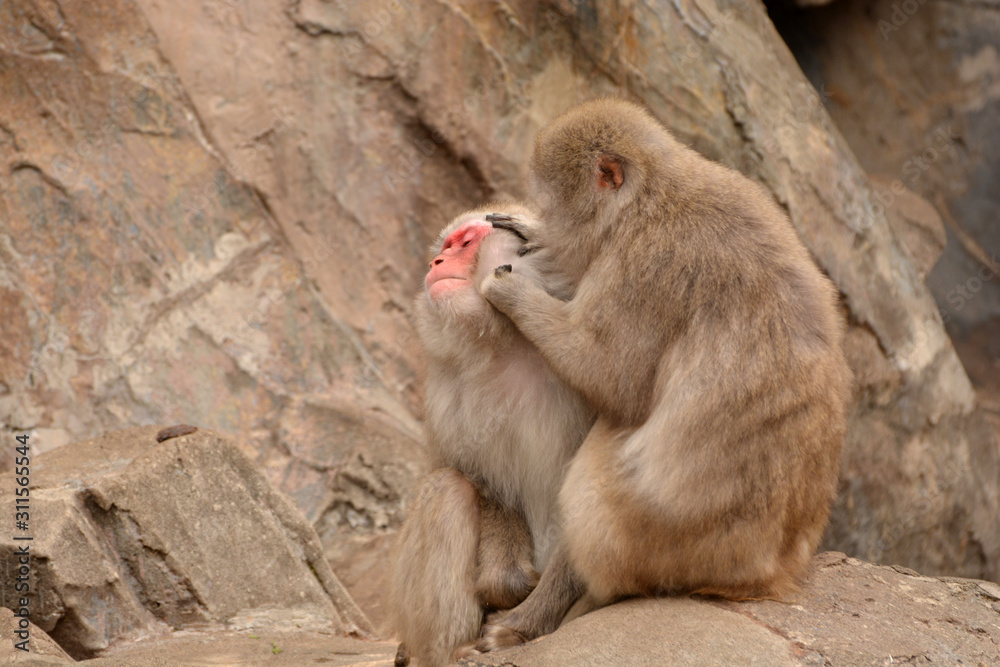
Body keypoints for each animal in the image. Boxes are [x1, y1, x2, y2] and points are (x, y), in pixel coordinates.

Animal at [388, 205, 592, 667]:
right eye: (446, 247)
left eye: (464, 244)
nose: (435, 263)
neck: (511, 342)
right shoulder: (446, 392)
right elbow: (484, 482)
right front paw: (507, 583)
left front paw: (516, 629)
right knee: (448, 490)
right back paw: (449, 652)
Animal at [470, 96, 852, 648]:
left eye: (550, 201)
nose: (547, 223)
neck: (651, 197)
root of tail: (770, 574)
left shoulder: (644, 267)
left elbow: (614, 378)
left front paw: (513, 288)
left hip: (668, 544)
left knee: (599, 466)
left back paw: (532, 619)